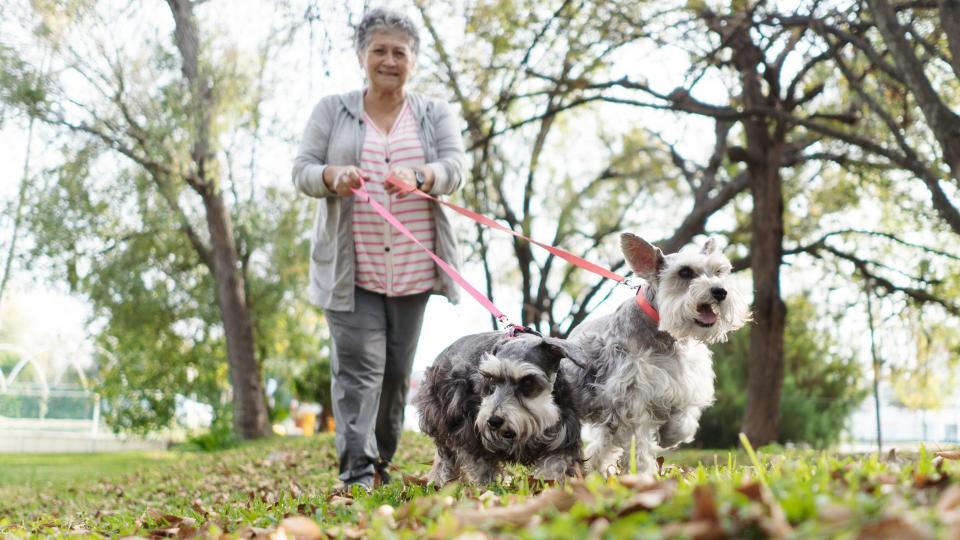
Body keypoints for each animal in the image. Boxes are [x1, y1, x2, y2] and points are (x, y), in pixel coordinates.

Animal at [416, 332, 588, 488]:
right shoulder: (473, 438)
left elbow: (555, 466)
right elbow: (481, 466)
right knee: (444, 458)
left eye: (527, 382)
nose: (494, 421)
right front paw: (484, 489)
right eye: (491, 379)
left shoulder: (562, 440)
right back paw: (438, 483)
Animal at [568, 234, 752, 474]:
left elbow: (684, 423)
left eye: (719, 271)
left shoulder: (685, 385)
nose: (720, 291)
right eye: (685, 272)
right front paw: (641, 474)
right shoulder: (633, 399)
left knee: (604, 443)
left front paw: (669, 437)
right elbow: (639, 446)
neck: (667, 337)